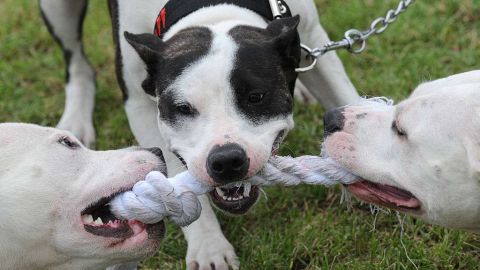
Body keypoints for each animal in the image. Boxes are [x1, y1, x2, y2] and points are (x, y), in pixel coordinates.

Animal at [39, 0, 358, 268]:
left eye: (256, 97)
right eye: (182, 108)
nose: (227, 160)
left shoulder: (313, 41)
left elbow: (346, 98)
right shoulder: (140, 103)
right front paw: (209, 246)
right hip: (56, 9)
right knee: (76, 63)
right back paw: (75, 119)